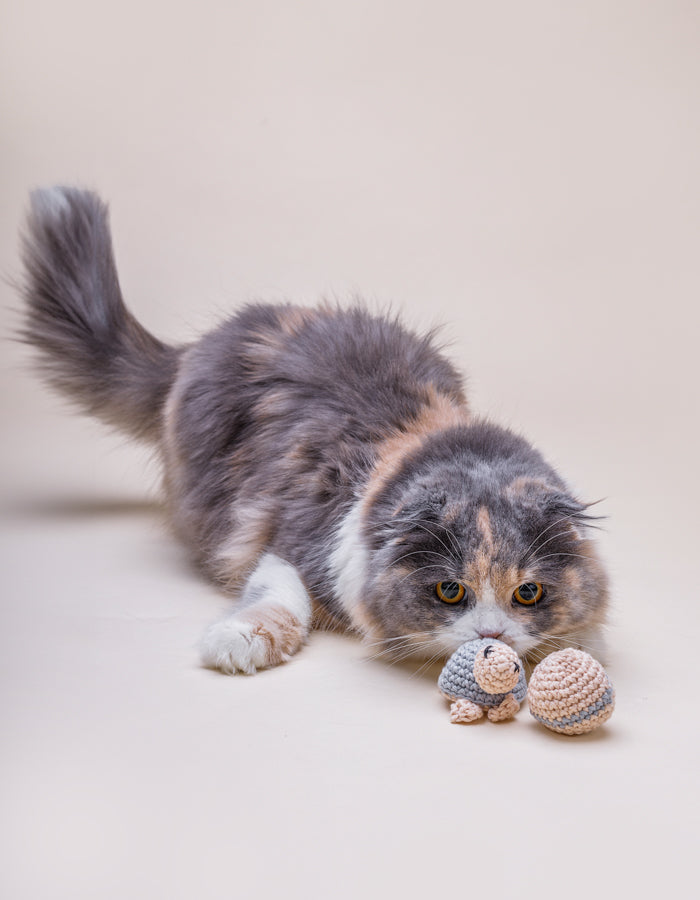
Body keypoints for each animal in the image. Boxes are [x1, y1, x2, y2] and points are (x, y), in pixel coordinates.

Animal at [19, 188, 608, 676]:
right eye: (450, 591)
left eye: (527, 593)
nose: (492, 636)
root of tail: (194, 351)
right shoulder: (293, 536)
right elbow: (281, 597)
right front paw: (238, 641)